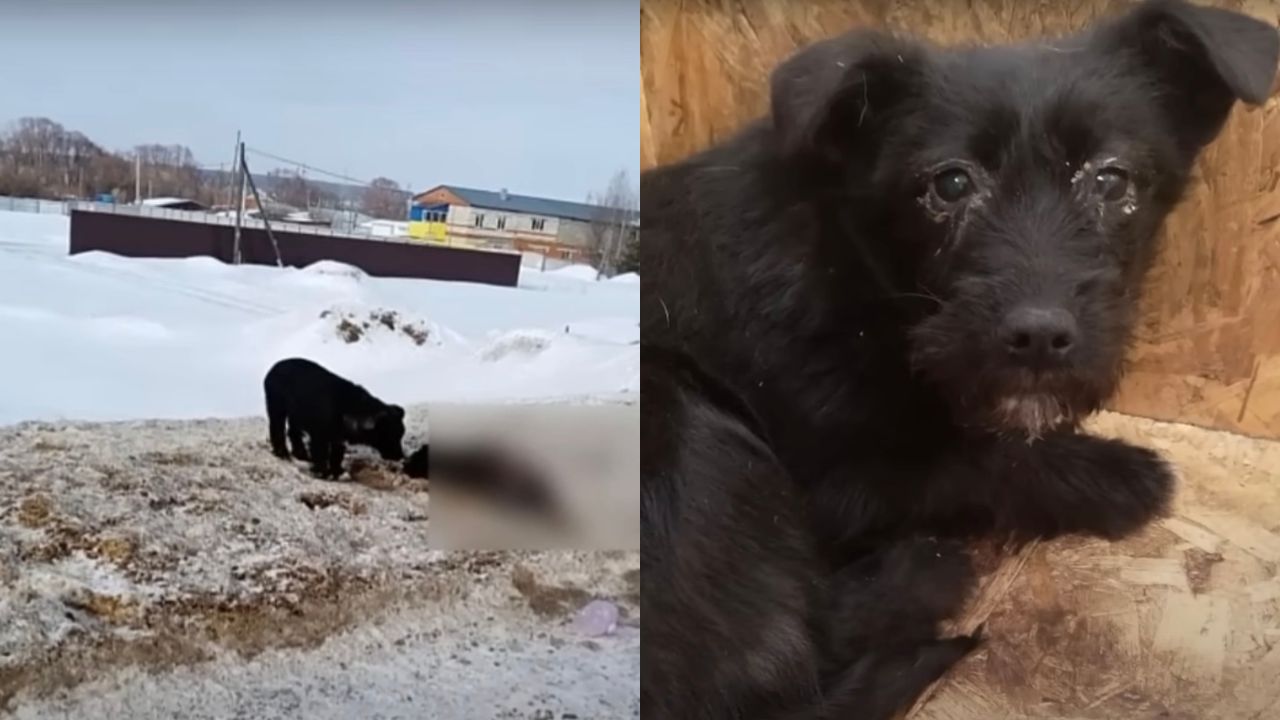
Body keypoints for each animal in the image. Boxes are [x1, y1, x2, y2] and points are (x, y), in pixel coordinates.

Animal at [267, 353, 407, 476]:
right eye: (388, 434)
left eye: (401, 434)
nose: (400, 456)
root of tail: (273, 368)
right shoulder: (319, 435)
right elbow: (320, 454)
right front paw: (321, 472)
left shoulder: (338, 439)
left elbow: (336, 455)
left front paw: (337, 471)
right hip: (277, 407)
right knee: (277, 429)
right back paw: (282, 454)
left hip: (295, 415)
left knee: (293, 432)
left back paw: (302, 455)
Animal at [645, 2, 1274, 712]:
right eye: (950, 183)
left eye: (1110, 180)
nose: (1039, 337)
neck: (856, 259)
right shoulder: (843, 482)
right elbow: (976, 458)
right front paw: (1116, 474)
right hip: (681, 416)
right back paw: (922, 574)